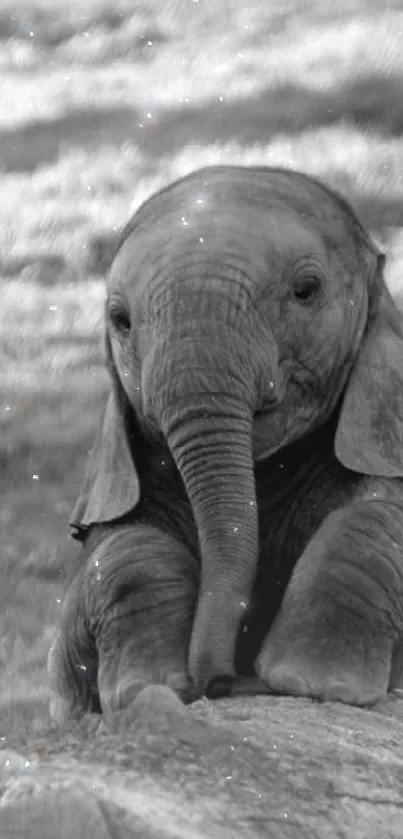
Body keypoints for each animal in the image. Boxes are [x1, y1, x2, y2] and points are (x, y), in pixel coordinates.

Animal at [49, 164, 403, 720]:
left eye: (306, 290)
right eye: (120, 321)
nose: (223, 682)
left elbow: (377, 518)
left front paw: (315, 683)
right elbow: (123, 547)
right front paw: (147, 689)